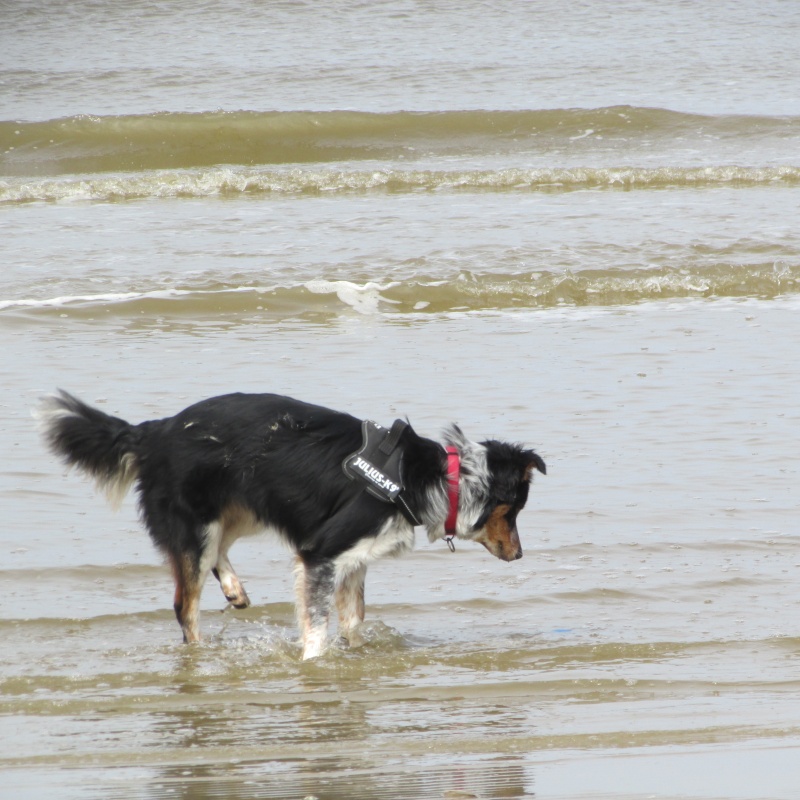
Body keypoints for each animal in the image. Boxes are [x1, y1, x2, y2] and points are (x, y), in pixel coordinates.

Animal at [40, 390, 548, 660]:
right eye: (514, 512)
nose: (520, 554)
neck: (432, 477)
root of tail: (154, 430)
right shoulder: (321, 553)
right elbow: (318, 625)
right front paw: (314, 662)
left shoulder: (354, 560)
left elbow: (353, 620)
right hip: (196, 526)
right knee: (186, 604)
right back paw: (199, 655)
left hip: (242, 508)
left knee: (219, 552)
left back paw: (234, 589)